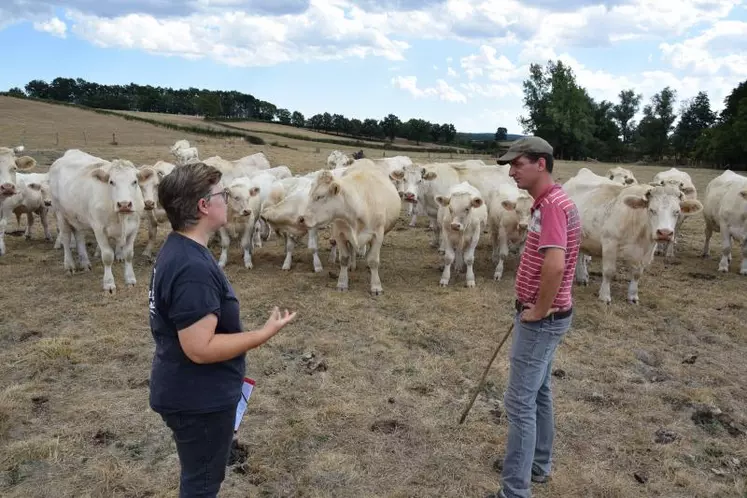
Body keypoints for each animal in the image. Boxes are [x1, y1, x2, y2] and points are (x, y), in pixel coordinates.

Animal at [49, 148, 148, 292]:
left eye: (134, 181)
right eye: (111, 182)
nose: (124, 204)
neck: (120, 218)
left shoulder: (134, 227)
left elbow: (129, 254)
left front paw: (130, 280)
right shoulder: (99, 228)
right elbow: (107, 256)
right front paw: (109, 284)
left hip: (77, 216)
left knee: (79, 237)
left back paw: (85, 263)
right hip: (60, 213)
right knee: (66, 239)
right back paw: (69, 266)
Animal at [300, 163, 400, 296]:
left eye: (320, 196)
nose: (301, 219)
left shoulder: (378, 235)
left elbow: (373, 260)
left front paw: (376, 286)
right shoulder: (340, 234)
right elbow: (344, 259)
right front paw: (342, 283)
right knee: (352, 249)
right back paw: (352, 265)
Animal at [568, 168, 700, 304]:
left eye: (677, 211)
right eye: (651, 210)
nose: (665, 233)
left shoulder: (646, 251)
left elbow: (637, 274)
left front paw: (632, 296)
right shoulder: (610, 244)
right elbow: (609, 272)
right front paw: (605, 296)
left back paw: (582, 277)